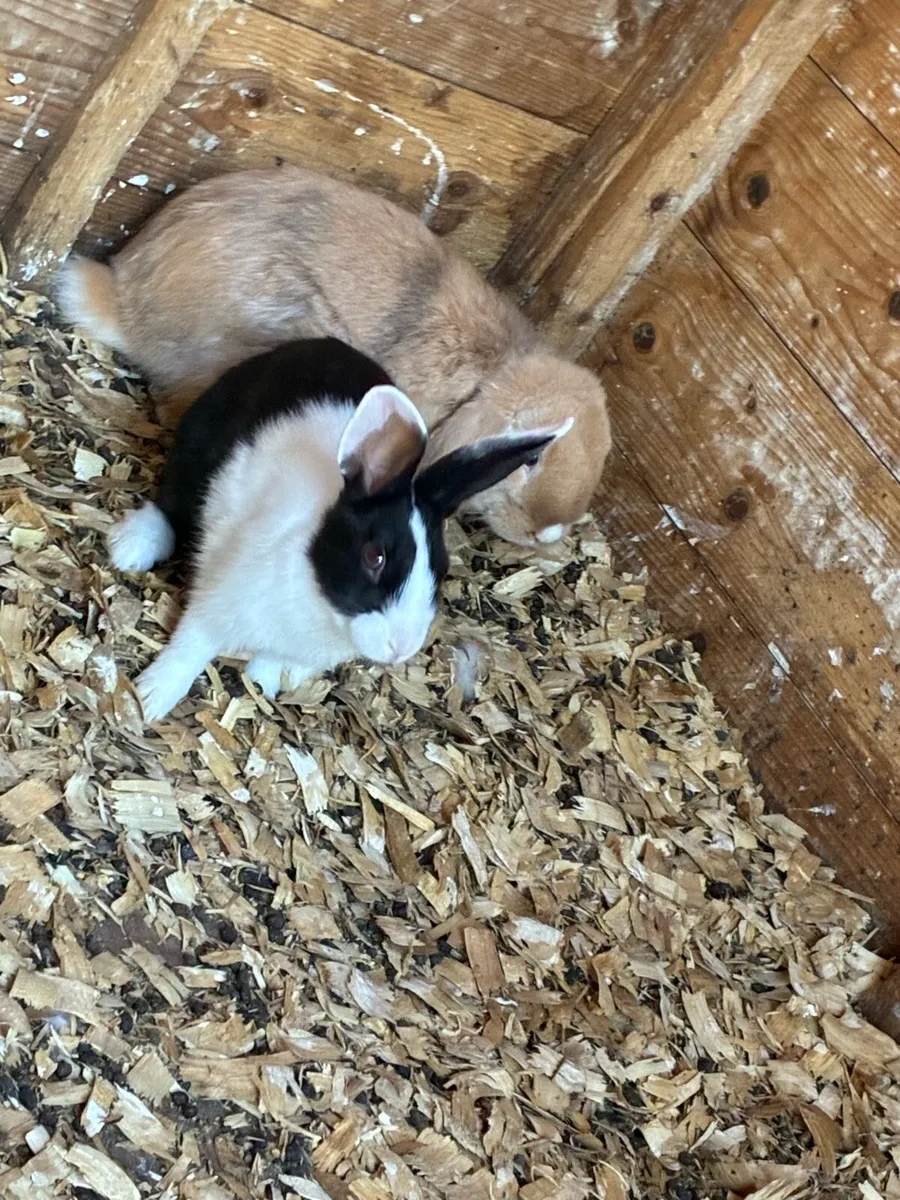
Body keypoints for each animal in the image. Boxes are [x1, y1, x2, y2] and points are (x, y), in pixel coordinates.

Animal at [108, 337, 566, 723]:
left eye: (441, 568)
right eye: (374, 556)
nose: (400, 648)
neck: (323, 605)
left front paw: (262, 681)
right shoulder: (217, 602)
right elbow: (191, 648)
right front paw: (148, 701)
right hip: (196, 448)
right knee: (171, 504)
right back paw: (130, 548)